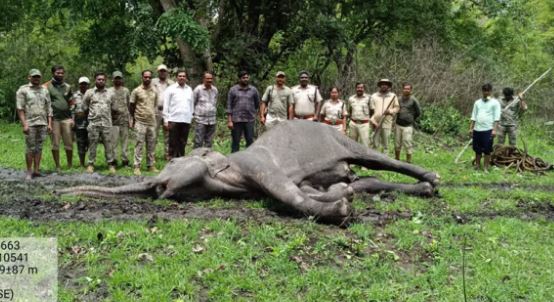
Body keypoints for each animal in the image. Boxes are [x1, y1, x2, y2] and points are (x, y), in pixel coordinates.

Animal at [59, 119, 440, 222]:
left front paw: (342, 209)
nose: (158, 188)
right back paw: (422, 190)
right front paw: (340, 195)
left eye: (172, 161)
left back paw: (433, 179)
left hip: (340, 138)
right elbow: (305, 190)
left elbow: (287, 191)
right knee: (368, 178)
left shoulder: (256, 164)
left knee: (377, 159)